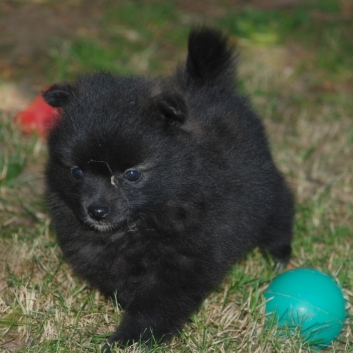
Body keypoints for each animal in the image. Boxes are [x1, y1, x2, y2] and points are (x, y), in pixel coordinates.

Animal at [42, 27, 292, 350]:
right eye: (76, 172)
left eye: (132, 174)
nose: (96, 211)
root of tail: (209, 86)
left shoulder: (182, 262)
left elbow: (155, 307)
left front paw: (130, 340)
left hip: (263, 187)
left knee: (281, 204)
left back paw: (279, 252)